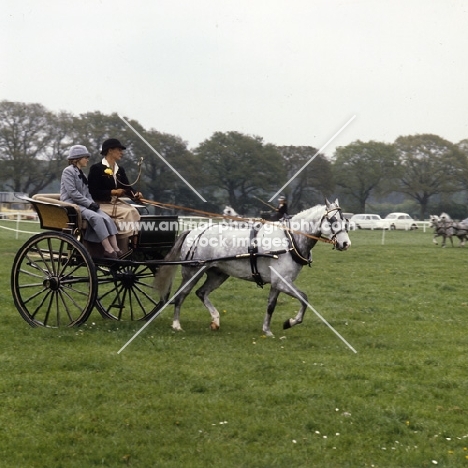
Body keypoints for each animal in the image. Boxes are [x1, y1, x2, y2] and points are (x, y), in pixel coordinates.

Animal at [156, 197, 352, 336]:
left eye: (345, 220)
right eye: (332, 220)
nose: (345, 244)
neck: (289, 240)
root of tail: (195, 230)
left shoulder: (276, 283)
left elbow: (271, 306)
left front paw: (267, 330)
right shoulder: (282, 282)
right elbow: (304, 298)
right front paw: (290, 322)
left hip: (218, 274)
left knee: (201, 293)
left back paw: (215, 320)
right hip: (192, 271)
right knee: (181, 294)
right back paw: (176, 324)